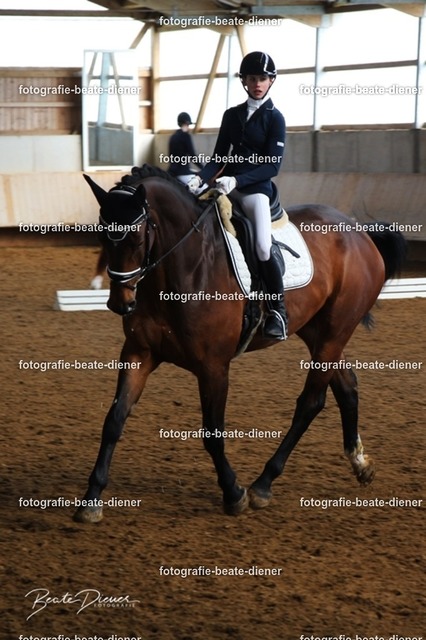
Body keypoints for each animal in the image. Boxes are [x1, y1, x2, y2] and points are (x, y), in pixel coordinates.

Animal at [74, 165, 406, 523]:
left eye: (135, 237)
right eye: (101, 236)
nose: (120, 303)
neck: (184, 269)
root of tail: (359, 233)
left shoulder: (214, 367)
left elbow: (213, 434)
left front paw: (234, 493)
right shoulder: (138, 353)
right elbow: (114, 420)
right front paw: (91, 499)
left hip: (335, 332)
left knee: (310, 403)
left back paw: (263, 484)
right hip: (318, 332)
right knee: (346, 386)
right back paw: (360, 464)